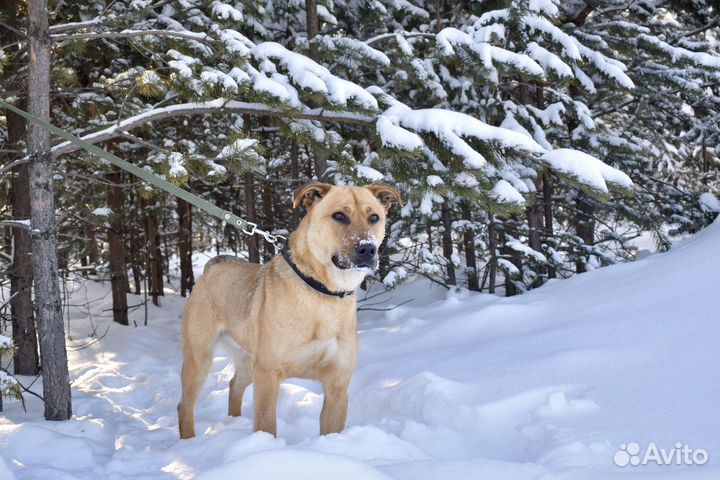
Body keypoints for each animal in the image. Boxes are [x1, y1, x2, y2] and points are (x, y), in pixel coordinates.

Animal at [177, 180, 402, 438]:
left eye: (374, 217)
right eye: (339, 216)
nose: (367, 249)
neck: (323, 295)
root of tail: (214, 265)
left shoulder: (336, 386)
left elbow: (331, 431)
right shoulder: (267, 375)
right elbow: (266, 425)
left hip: (247, 360)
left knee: (234, 385)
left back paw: (234, 421)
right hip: (200, 359)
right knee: (184, 405)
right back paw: (189, 439)